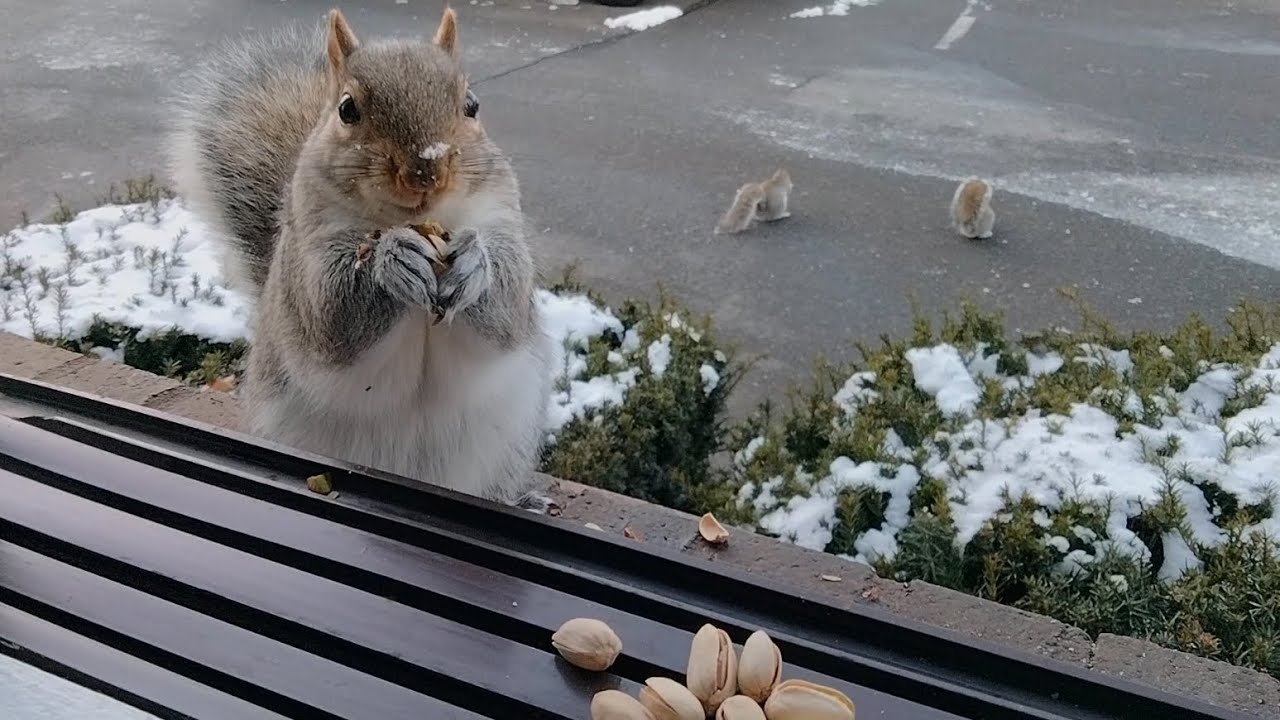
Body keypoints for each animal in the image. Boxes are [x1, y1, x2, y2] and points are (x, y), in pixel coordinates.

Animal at [164, 6, 554, 509]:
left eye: (472, 104)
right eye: (347, 109)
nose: (425, 171)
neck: (410, 220)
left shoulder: (502, 216)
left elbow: (508, 306)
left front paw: (475, 264)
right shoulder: (308, 247)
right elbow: (333, 316)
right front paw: (392, 261)